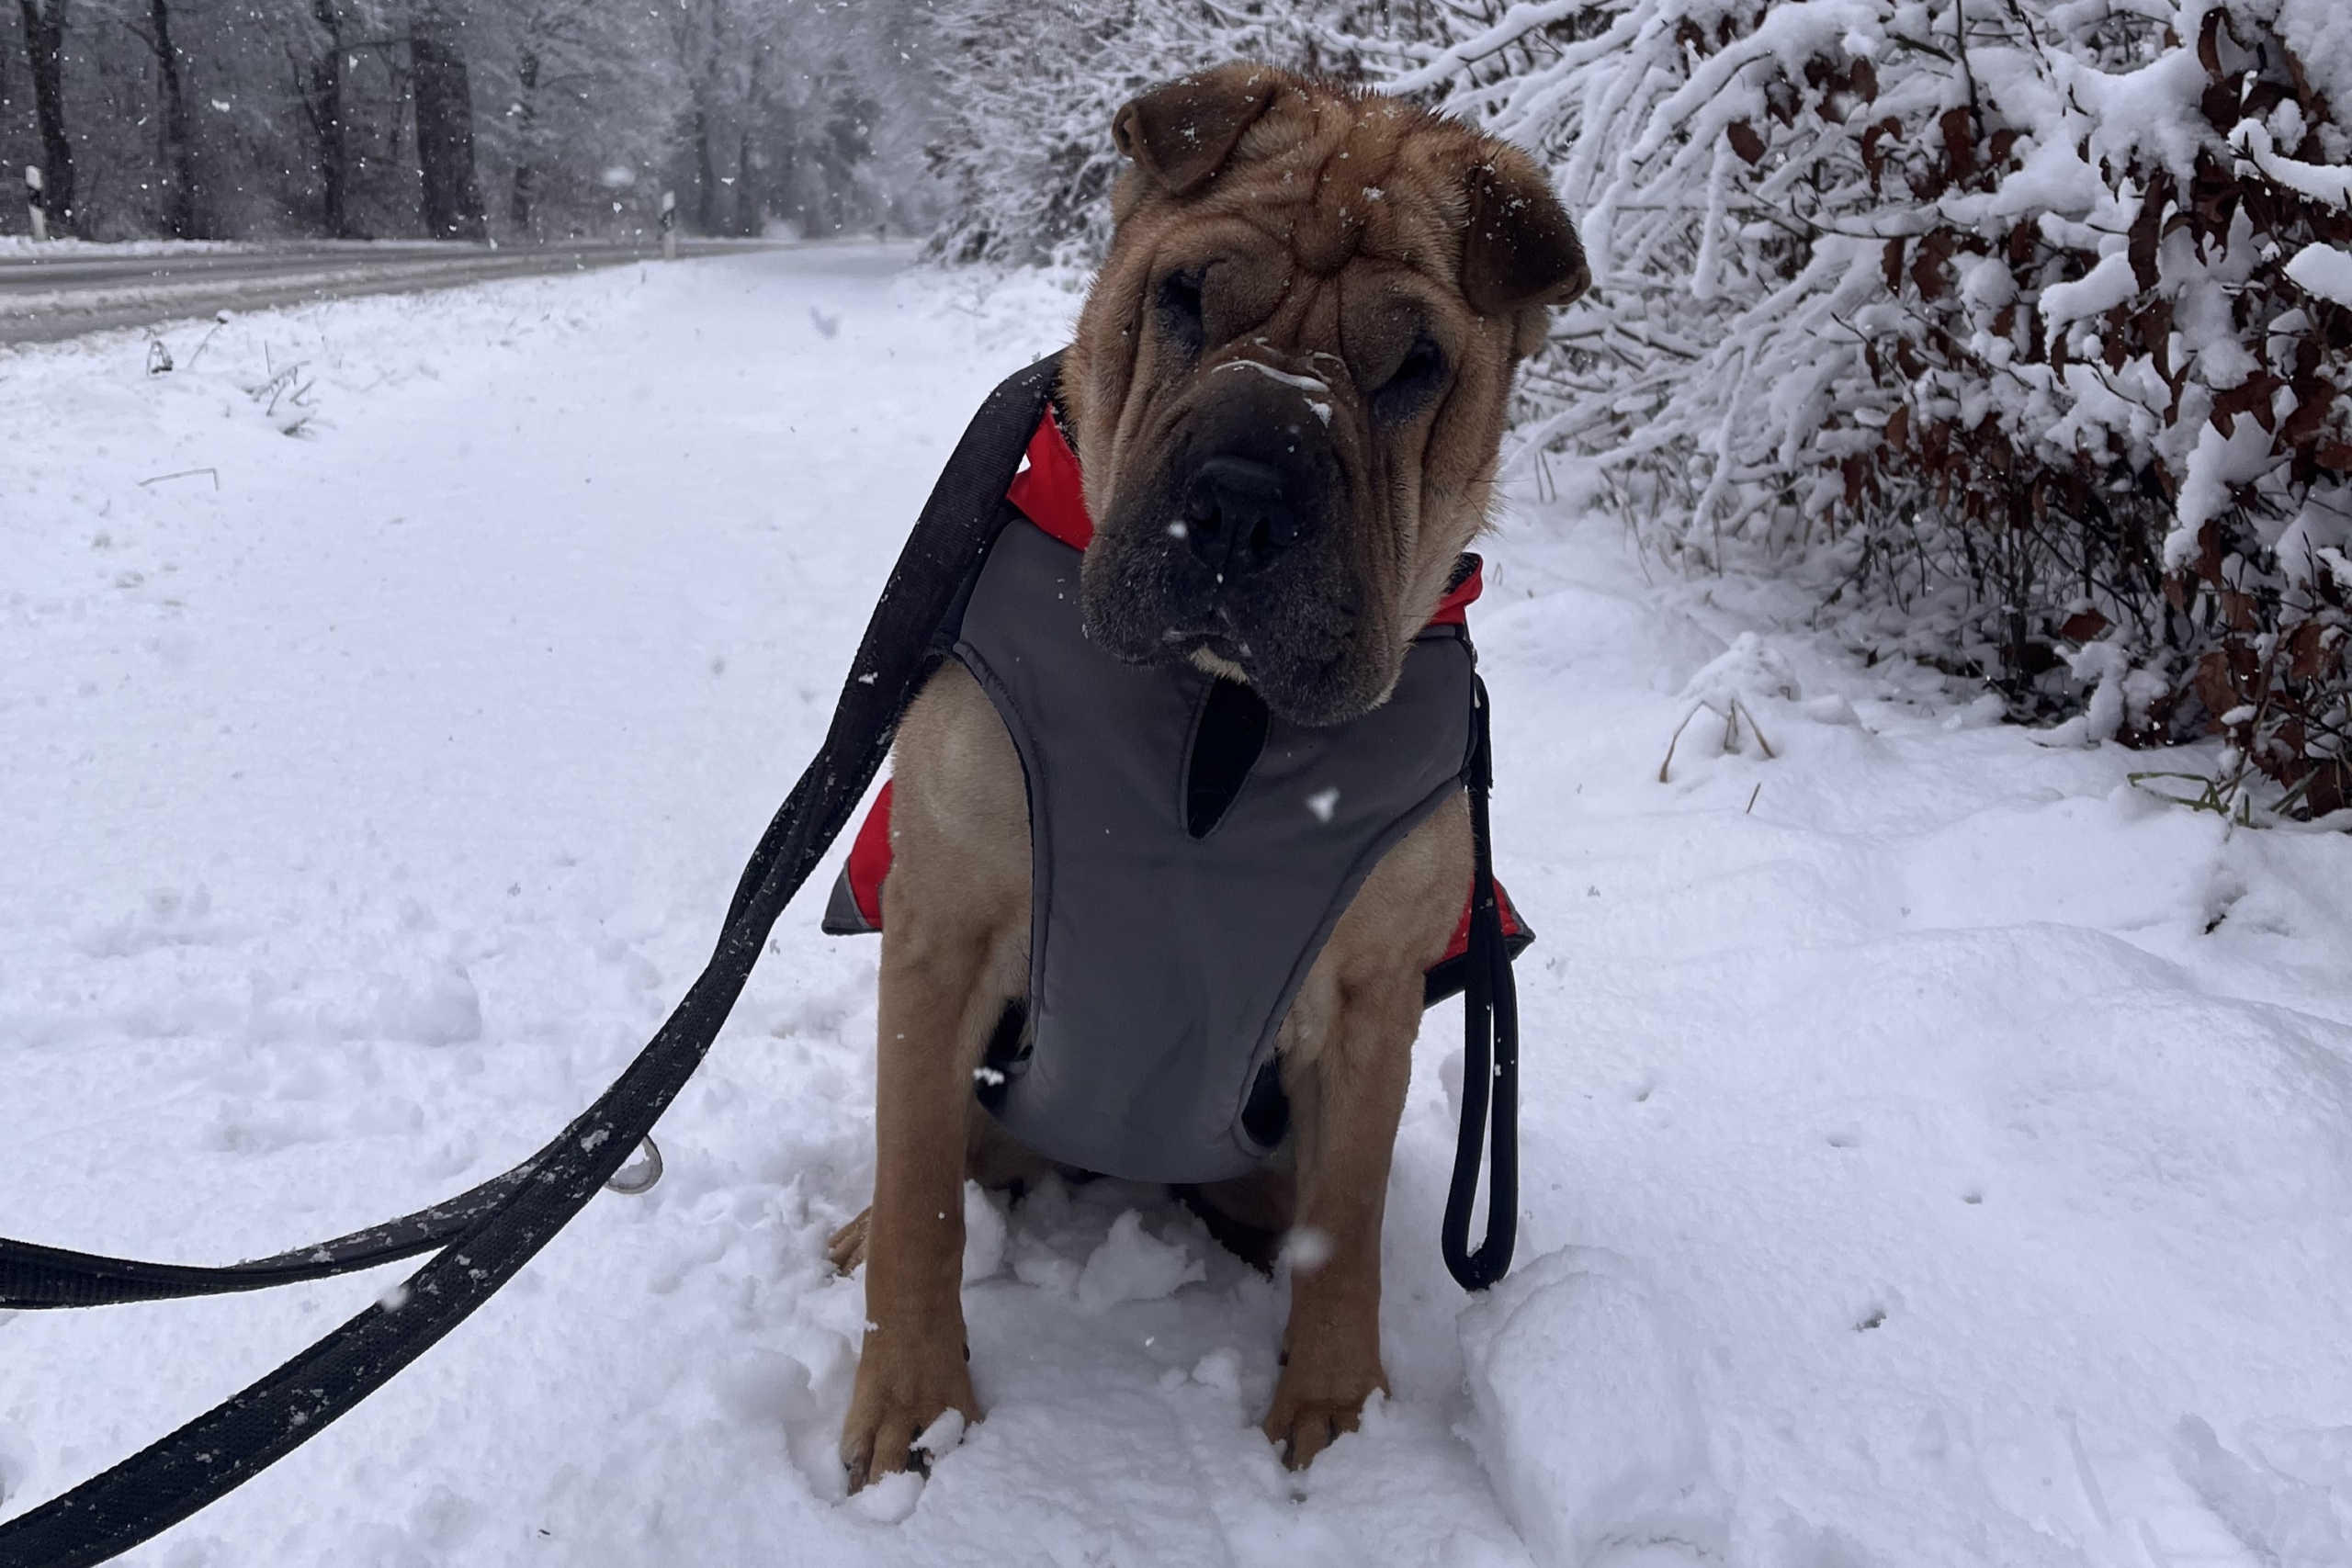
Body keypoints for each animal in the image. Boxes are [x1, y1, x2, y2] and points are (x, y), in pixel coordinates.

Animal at [827, 61, 1588, 1489]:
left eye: (1416, 364)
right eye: (1183, 297)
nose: (1240, 501)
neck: (1221, 717)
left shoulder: (1372, 992)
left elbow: (1345, 1221)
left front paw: (1334, 1416)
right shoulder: (943, 922)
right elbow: (920, 1200)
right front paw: (914, 1402)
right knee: (945, 1166)